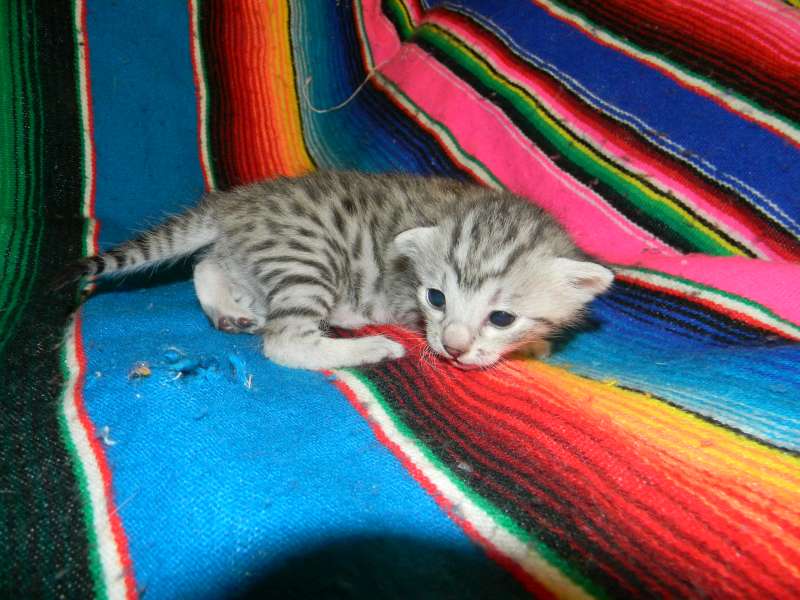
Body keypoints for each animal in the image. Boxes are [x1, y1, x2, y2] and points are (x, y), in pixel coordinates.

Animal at [61, 170, 614, 370]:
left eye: (502, 317)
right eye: (436, 298)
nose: (453, 348)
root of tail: (238, 201)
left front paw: (534, 344)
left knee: (207, 263)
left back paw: (228, 309)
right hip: (309, 255)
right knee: (284, 342)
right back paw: (368, 346)